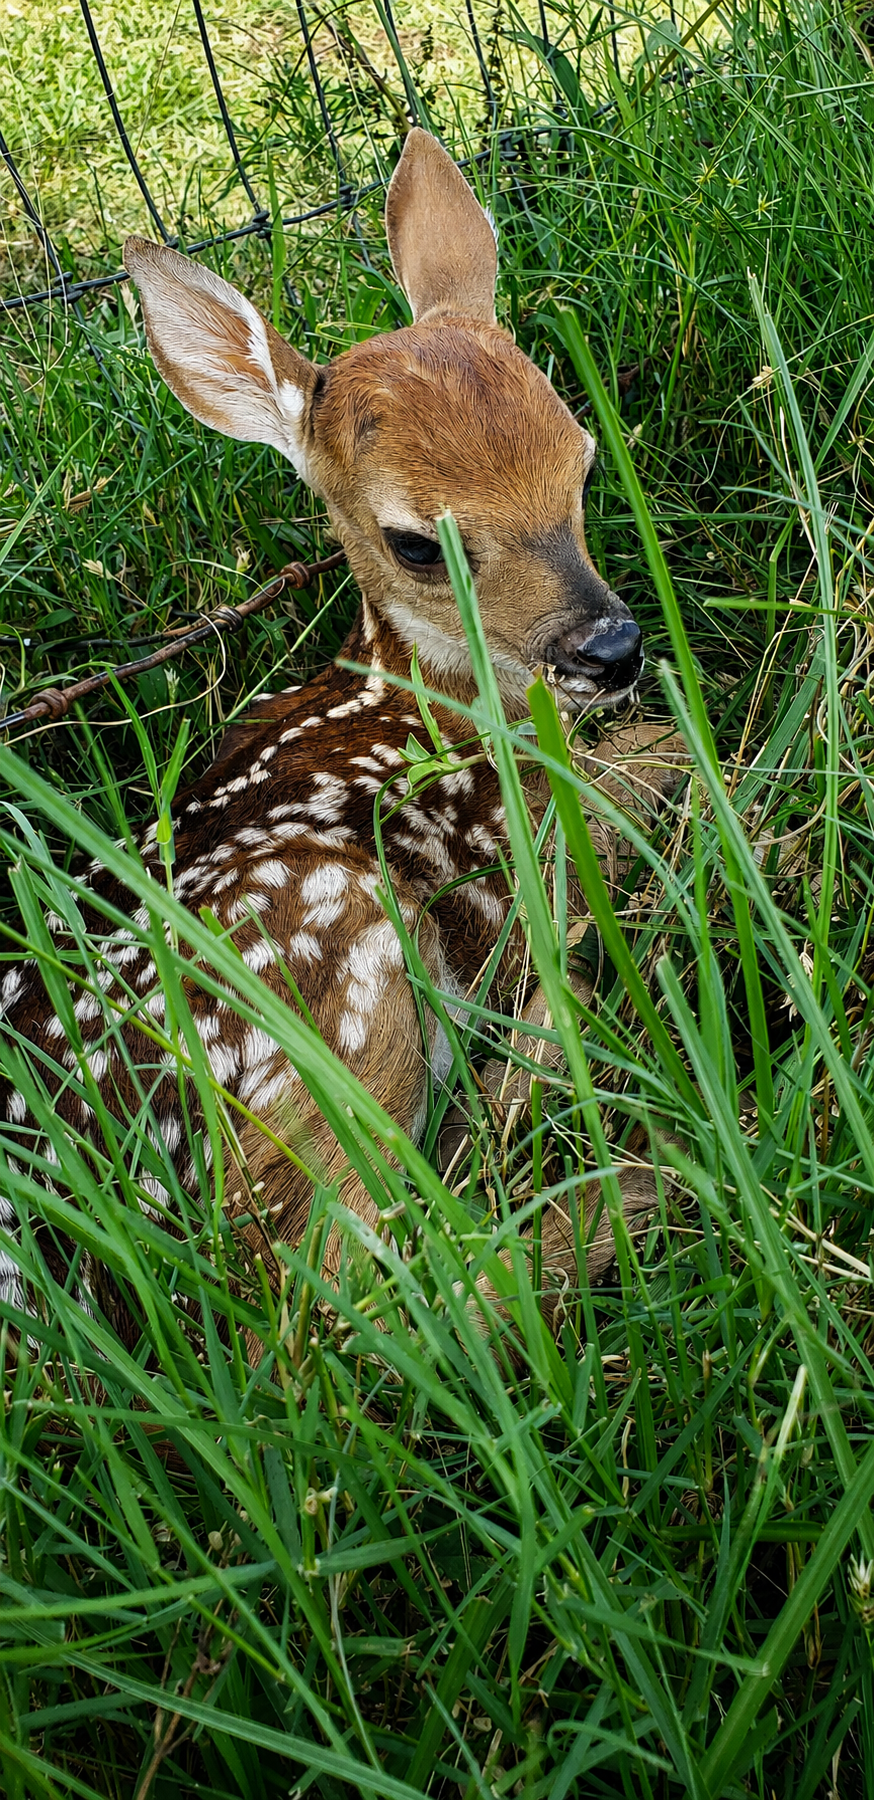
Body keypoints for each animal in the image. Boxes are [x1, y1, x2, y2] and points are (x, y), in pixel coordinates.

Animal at [0, 131, 685, 1348]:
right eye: (415, 542)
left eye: (582, 459)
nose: (608, 647)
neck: (416, 702)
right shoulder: (520, 840)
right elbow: (663, 768)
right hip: (325, 960)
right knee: (341, 1301)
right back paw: (621, 1171)